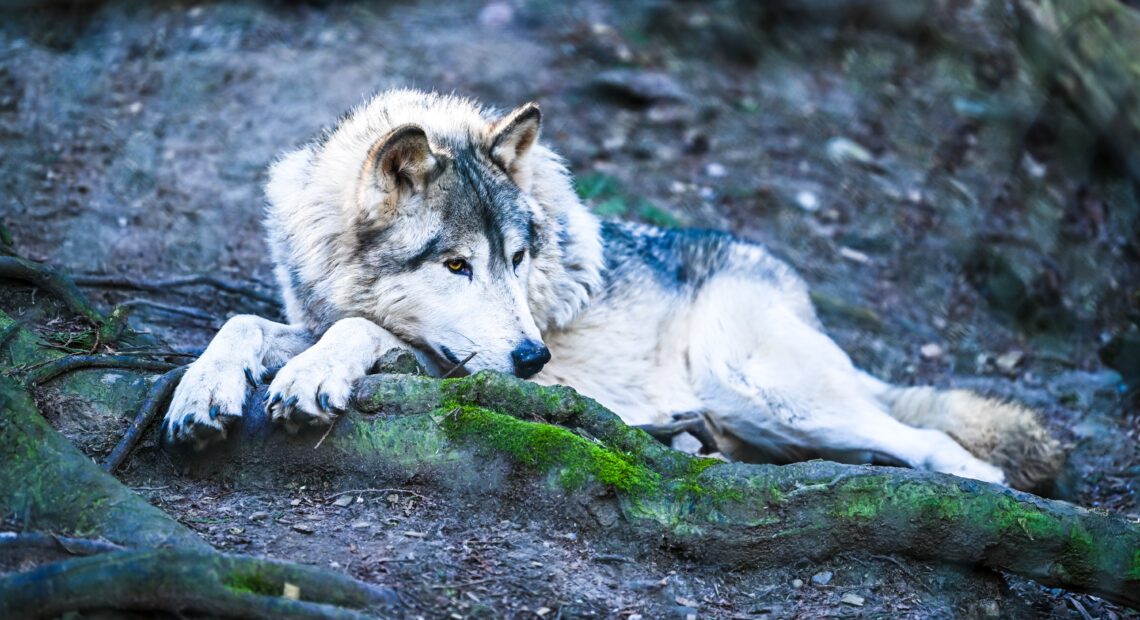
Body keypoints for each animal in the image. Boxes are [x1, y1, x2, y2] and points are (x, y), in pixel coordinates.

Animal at [158, 88, 1057, 490]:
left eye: (519, 258)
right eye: (457, 266)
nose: (534, 358)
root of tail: (779, 273)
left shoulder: (451, 367)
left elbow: (367, 332)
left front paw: (309, 377)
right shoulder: (304, 314)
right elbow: (239, 322)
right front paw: (202, 393)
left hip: (760, 387)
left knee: (928, 440)